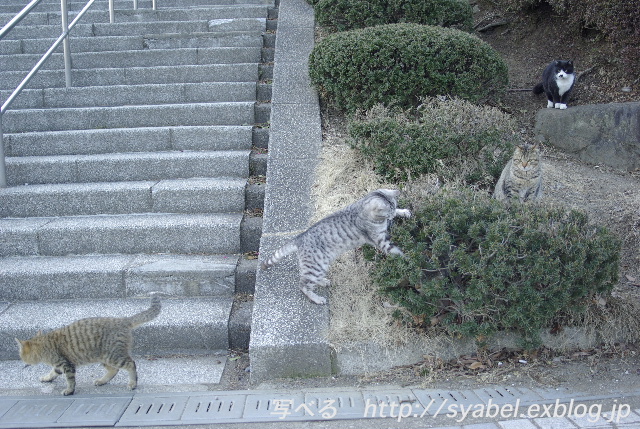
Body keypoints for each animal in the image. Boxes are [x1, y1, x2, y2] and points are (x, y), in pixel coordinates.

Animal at [15, 294, 160, 394]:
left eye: (21, 355)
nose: (21, 360)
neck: (44, 343)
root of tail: (122, 320)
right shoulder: (59, 364)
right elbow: (53, 372)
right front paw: (46, 378)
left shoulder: (66, 364)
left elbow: (70, 380)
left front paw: (69, 391)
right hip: (104, 357)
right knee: (114, 370)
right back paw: (102, 381)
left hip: (113, 356)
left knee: (131, 364)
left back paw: (132, 383)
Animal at [260, 188, 410, 304]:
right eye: (388, 212)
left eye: (394, 206)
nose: (391, 217)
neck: (360, 208)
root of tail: (300, 237)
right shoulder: (381, 241)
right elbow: (397, 252)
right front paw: (409, 261)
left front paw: (403, 212)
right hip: (316, 265)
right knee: (303, 285)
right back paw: (317, 298)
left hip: (319, 265)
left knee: (306, 277)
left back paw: (323, 281)